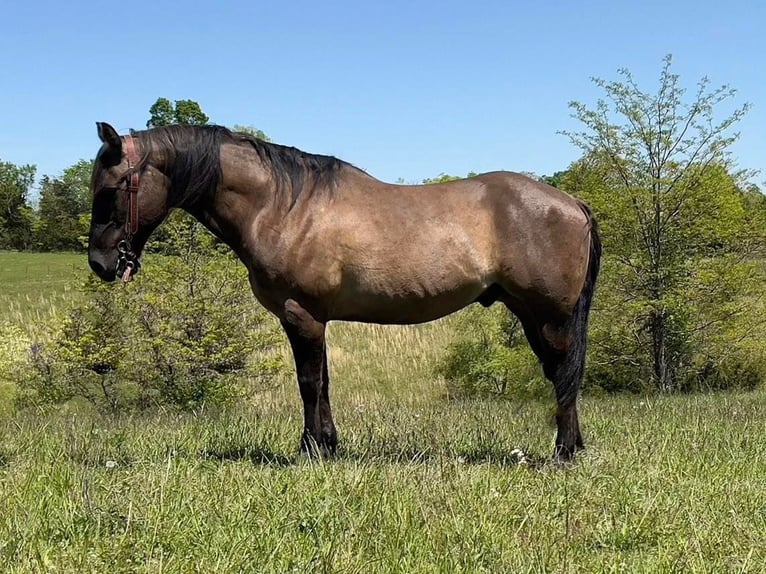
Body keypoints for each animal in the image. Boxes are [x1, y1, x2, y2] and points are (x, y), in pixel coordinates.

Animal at [88, 121, 600, 464]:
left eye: (111, 188)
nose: (100, 262)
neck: (282, 205)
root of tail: (572, 203)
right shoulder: (315, 319)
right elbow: (324, 382)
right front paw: (329, 446)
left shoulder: (301, 314)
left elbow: (309, 383)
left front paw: (311, 450)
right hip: (532, 315)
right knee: (562, 375)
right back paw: (571, 448)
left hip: (548, 317)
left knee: (564, 374)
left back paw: (563, 453)